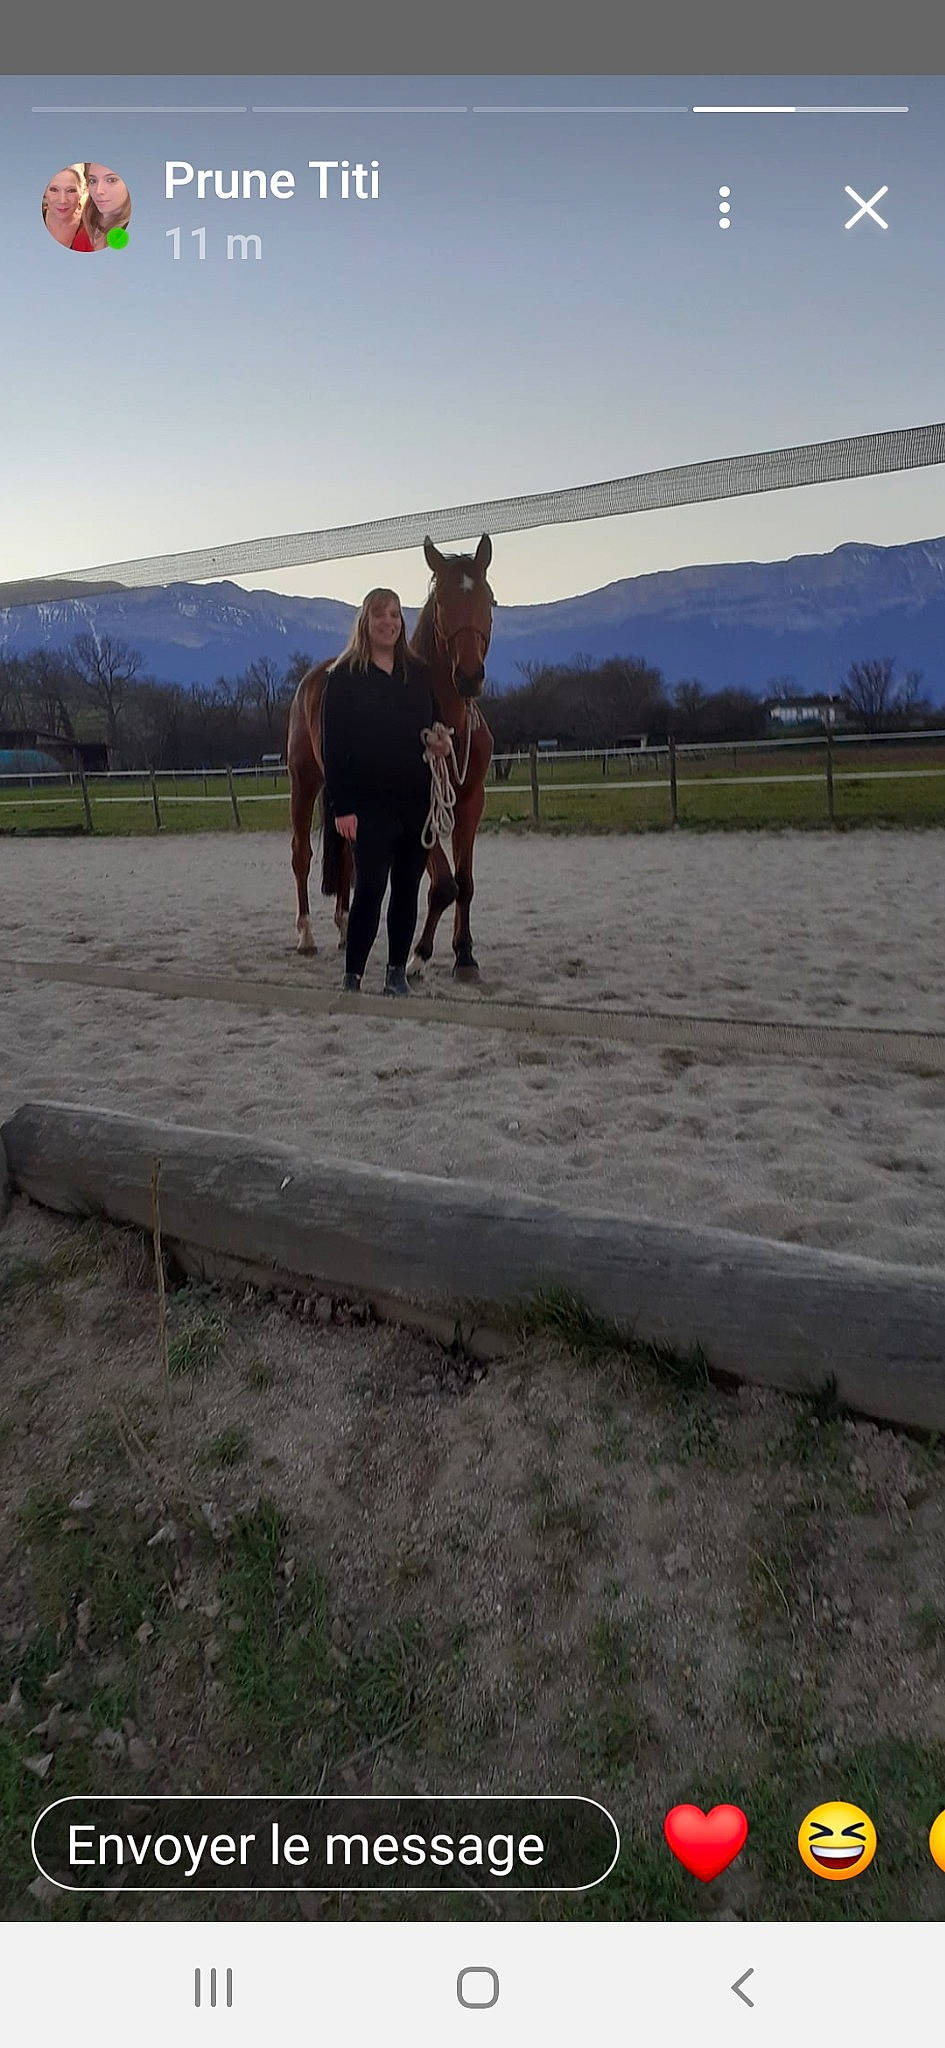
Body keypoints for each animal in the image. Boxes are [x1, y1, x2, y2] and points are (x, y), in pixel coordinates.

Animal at [287, 533, 495, 981]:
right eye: (441, 604)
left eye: (489, 599)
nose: (469, 677)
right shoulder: (420, 809)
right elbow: (445, 885)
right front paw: (419, 956)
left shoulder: (470, 801)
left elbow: (465, 882)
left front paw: (465, 955)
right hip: (304, 780)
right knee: (301, 855)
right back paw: (307, 935)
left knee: (348, 859)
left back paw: (345, 930)